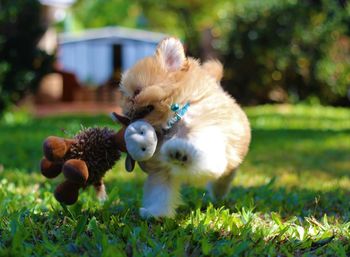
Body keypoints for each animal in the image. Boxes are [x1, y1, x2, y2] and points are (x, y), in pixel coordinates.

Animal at [119, 37, 250, 217]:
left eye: (136, 91)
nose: (125, 109)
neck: (173, 120)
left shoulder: (209, 138)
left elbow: (201, 154)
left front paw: (180, 153)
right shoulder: (162, 170)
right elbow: (160, 192)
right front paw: (156, 213)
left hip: (230, 163)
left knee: (224, 179)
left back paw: (218, 193)